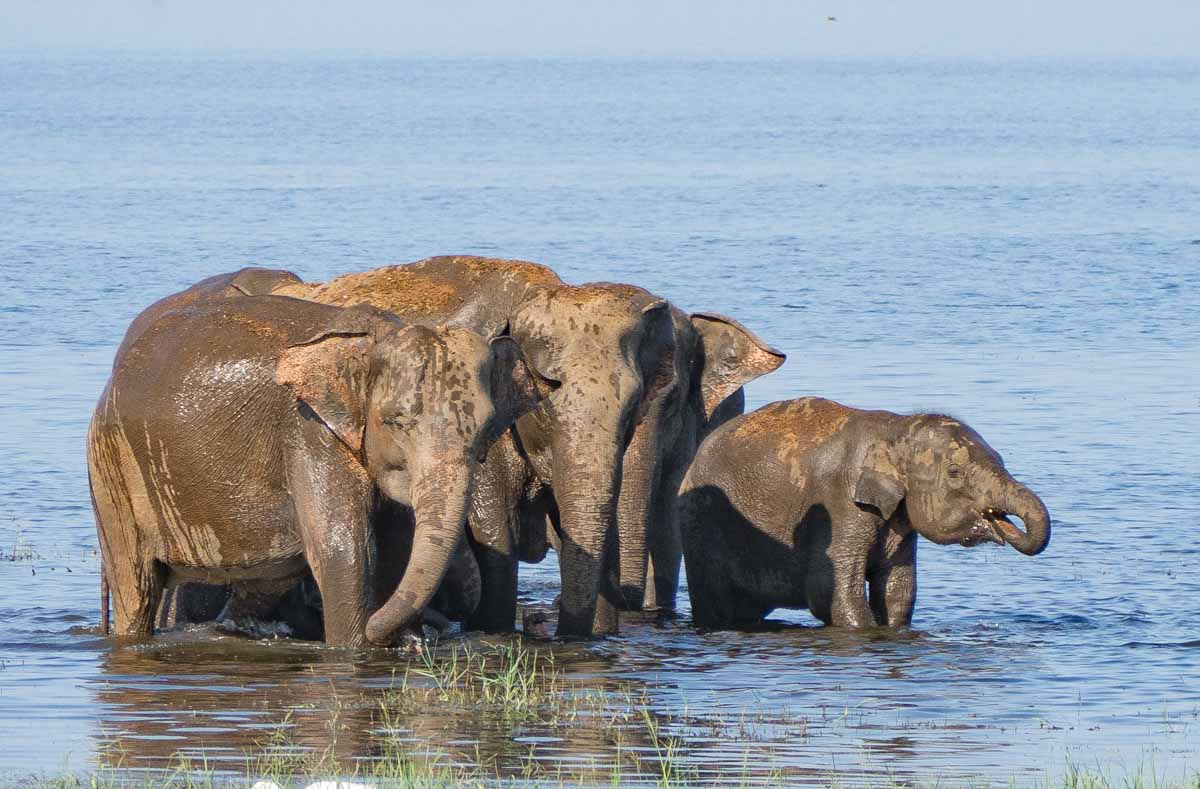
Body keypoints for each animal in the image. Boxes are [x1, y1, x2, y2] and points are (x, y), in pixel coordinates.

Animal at [89, 293, 545, 646]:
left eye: (487, 429)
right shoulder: (308, 430)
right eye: (396, 421)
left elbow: (394, 548)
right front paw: (357, 645)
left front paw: (405, 641)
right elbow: (346, 551)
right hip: (112, 468)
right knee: (137, 588)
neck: (371, 342)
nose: (431, 630)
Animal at [678, 397, 1051, 629]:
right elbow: (831, 591)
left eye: (1001, 458)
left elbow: (898, 591)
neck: (895, 429)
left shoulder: (899, 519)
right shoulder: (840, 505)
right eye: (955, 473)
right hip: (701, 526)